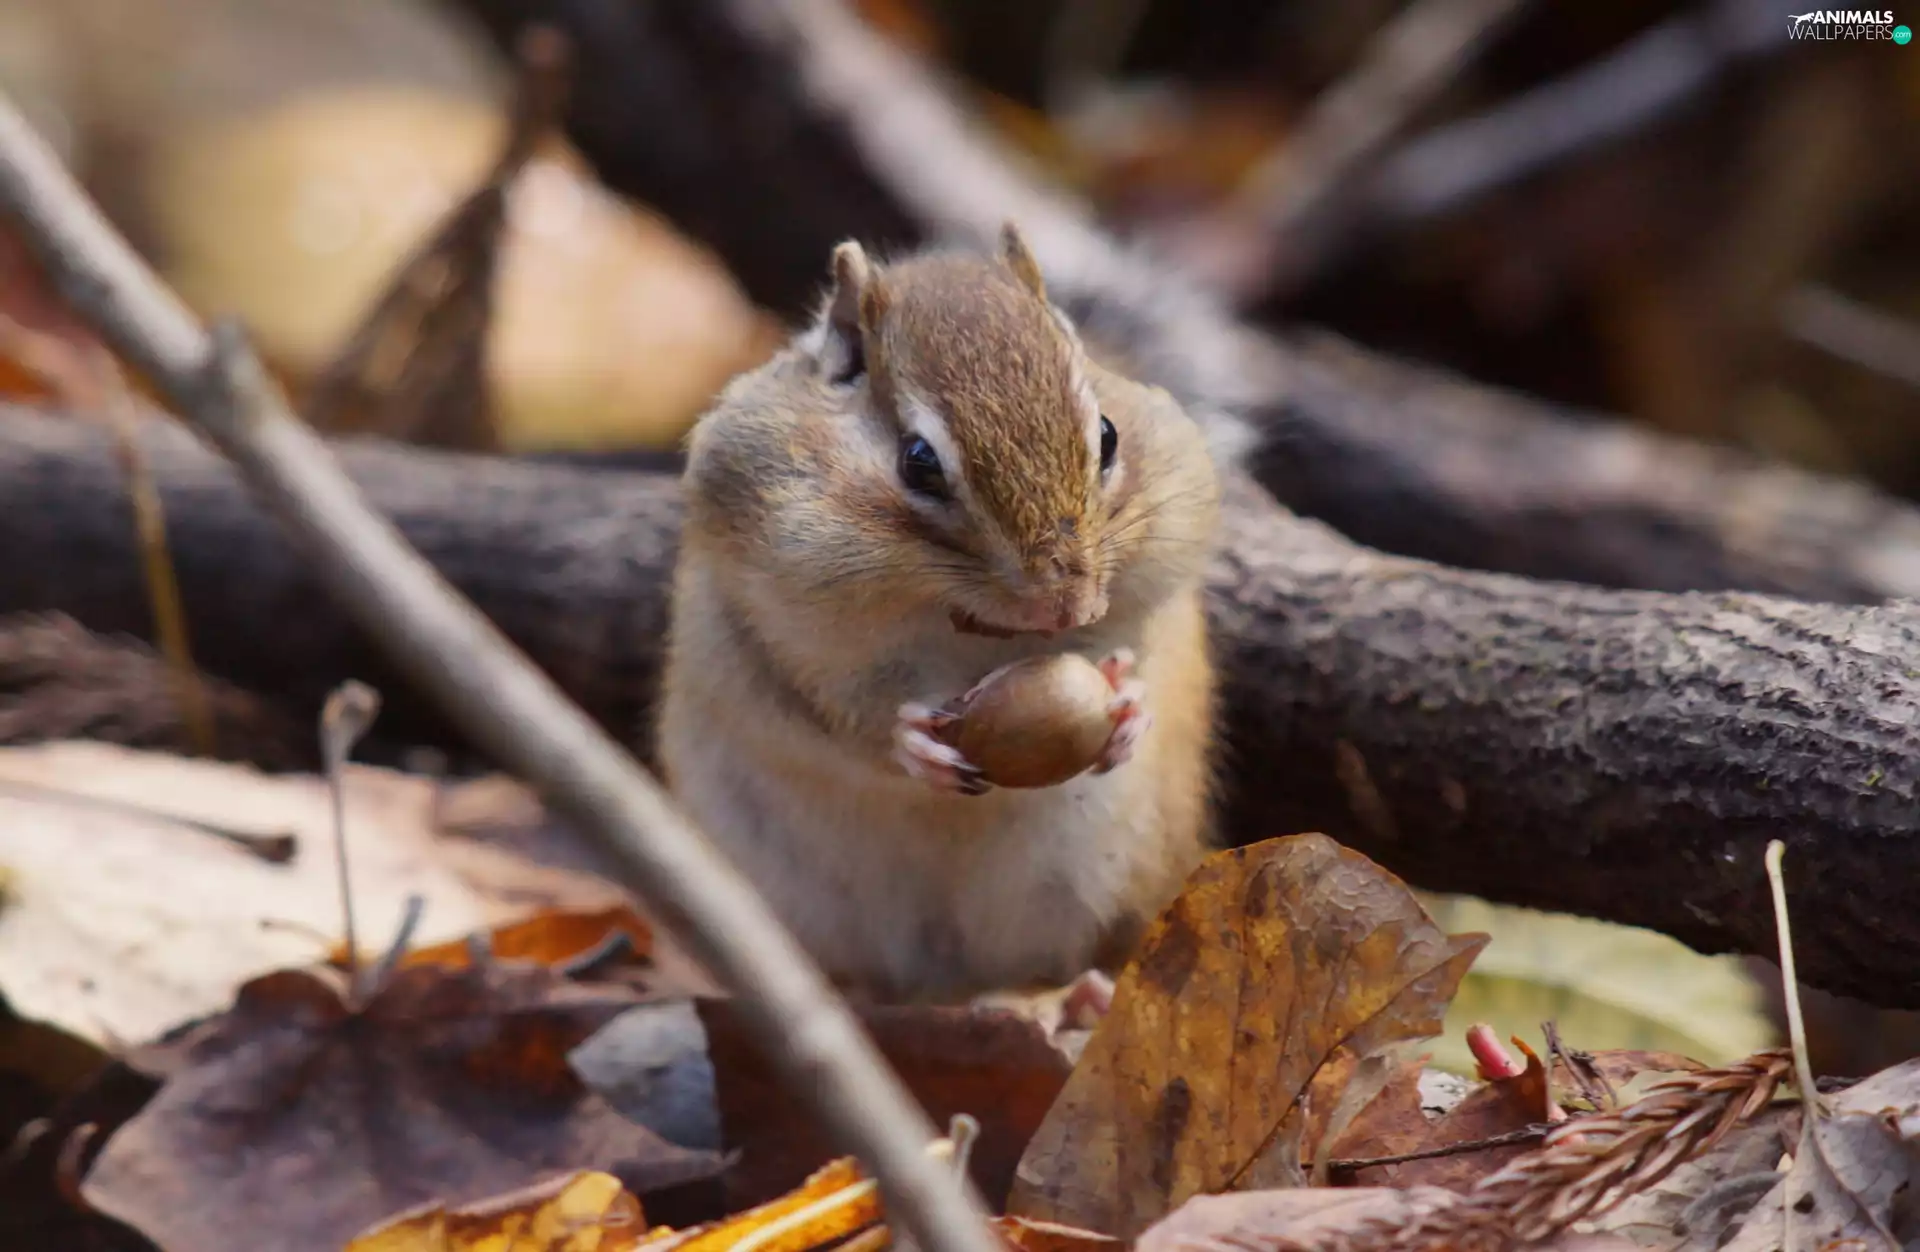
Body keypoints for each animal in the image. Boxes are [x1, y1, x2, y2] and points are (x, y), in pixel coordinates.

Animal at [657, 223, 1221, 1004]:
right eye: (919, 461)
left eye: (1108, 436)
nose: (1067, 604)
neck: (960, 625)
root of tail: (951, 984)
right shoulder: (761, 628)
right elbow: (826, 710)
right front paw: (909, 742)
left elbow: (1139, 654)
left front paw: (1130, 704)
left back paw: (1082, 995)